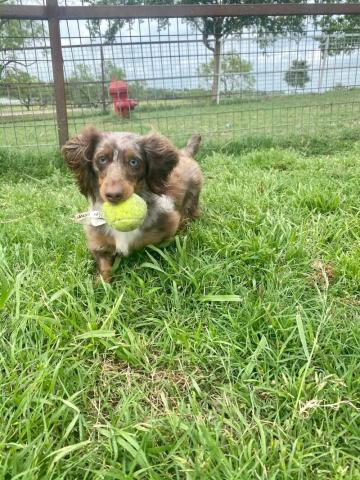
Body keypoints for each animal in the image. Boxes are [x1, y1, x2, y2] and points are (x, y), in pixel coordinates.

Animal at [62, 127, 202, 284]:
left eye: (134, 162)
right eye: (102, 159)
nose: (113, 195)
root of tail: (183, 153)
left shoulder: (167, 231)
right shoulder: (98, 244)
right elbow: (104, 269)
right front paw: (100, 284)